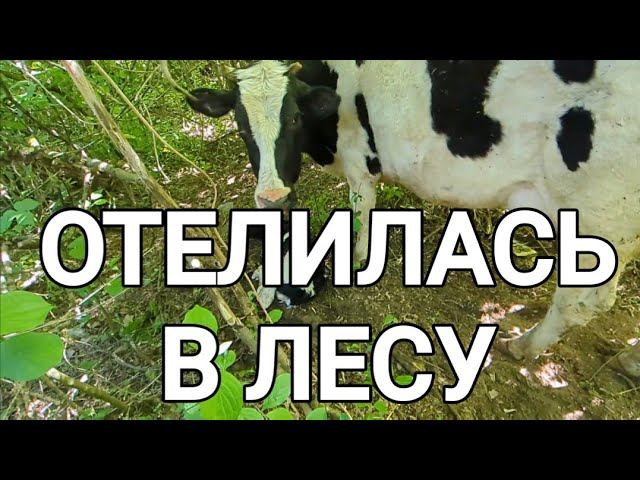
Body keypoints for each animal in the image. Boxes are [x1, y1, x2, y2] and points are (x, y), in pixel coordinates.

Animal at [185, 60, 640, 376]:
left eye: (294, 118)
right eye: (241, 126)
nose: (272, 196)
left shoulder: (358, 164)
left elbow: (360, 215)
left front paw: (357, 261)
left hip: (600, 212)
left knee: (582, 301)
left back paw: (523, 346)